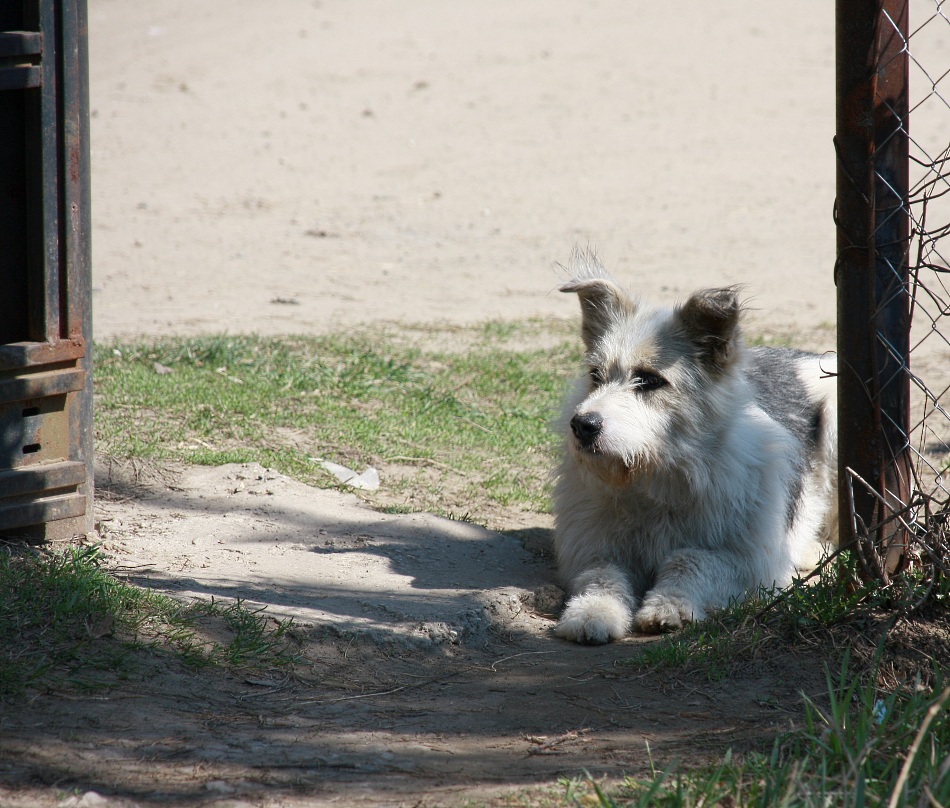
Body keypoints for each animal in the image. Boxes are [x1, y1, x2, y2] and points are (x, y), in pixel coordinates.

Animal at [556, 252, 836, 644]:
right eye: (595, 375)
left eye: (649, 380)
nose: (583, 426)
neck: (656, 475)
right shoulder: (593, 550)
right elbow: (601, 576)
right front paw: (591, 612)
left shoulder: (748, 563)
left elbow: (689, 559)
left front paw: (670, 605)